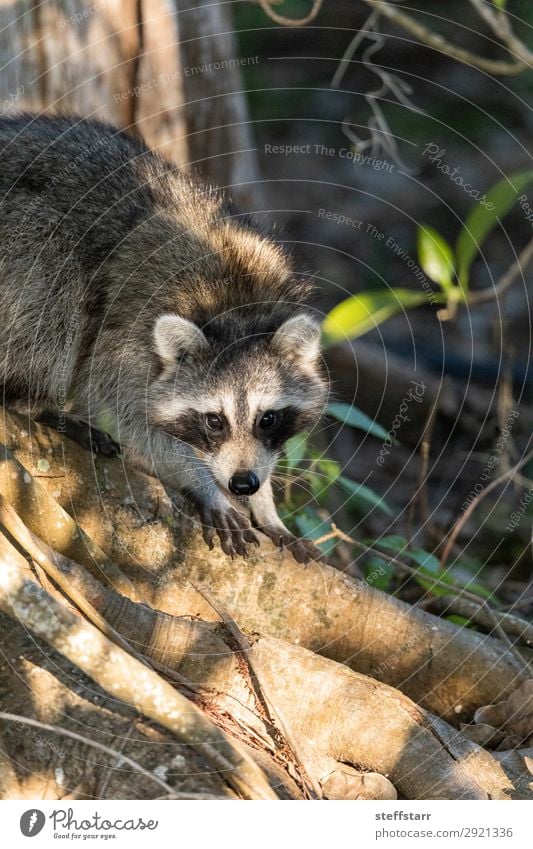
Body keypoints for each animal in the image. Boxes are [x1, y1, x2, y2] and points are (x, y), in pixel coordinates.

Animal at [0, 114, 328, 564]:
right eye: (214, 421)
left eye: (268, 418)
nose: (243, 484)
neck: (237, 306)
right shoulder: (128, 334)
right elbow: (135, 419)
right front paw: (203, 482)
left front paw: (266, 508)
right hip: (22, 238)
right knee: (53, 294)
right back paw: (33, 403)